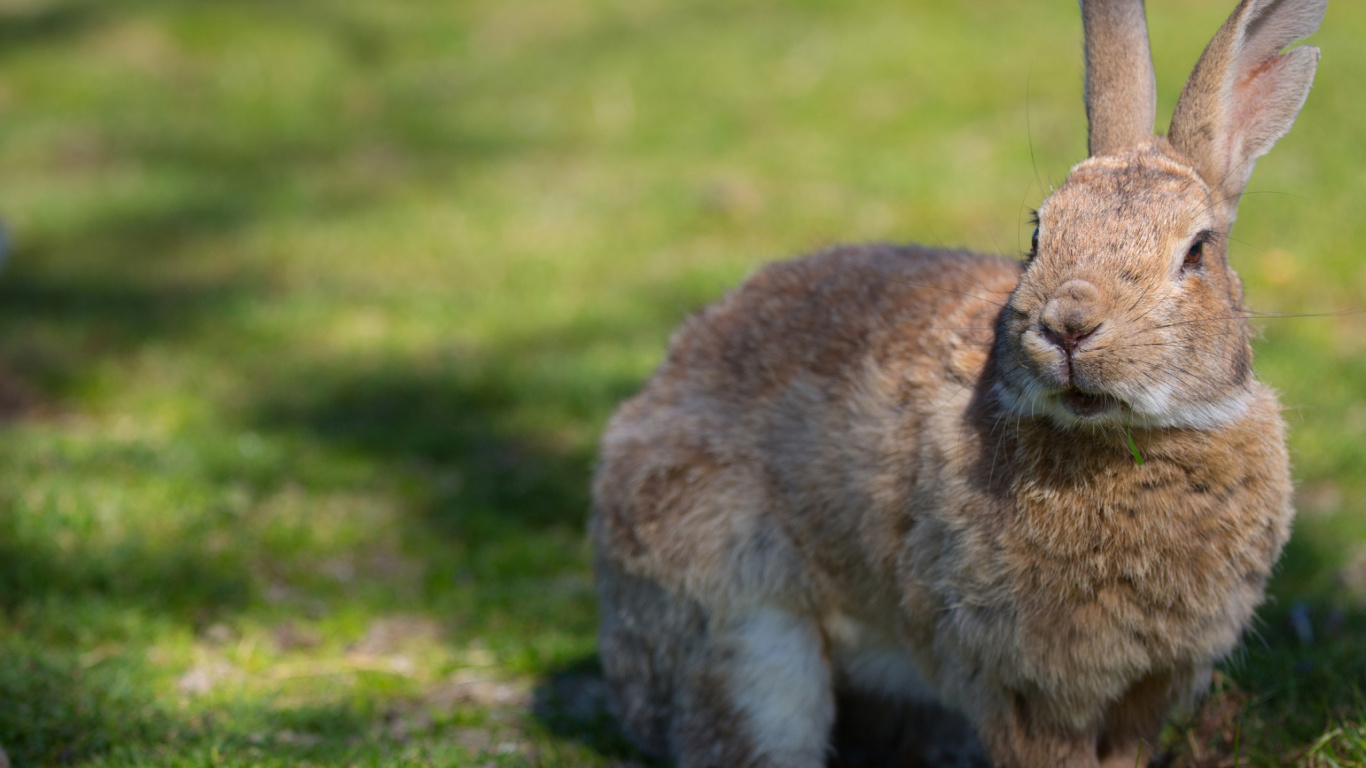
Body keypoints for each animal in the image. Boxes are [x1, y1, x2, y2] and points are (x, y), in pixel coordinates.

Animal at [590, 0, 1325, 765]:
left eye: (1197, 252)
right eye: (1038, 234)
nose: (1068, 325)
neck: (1121, 442)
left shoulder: (1145, 689)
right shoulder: (1017, 683)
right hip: (749, 640)